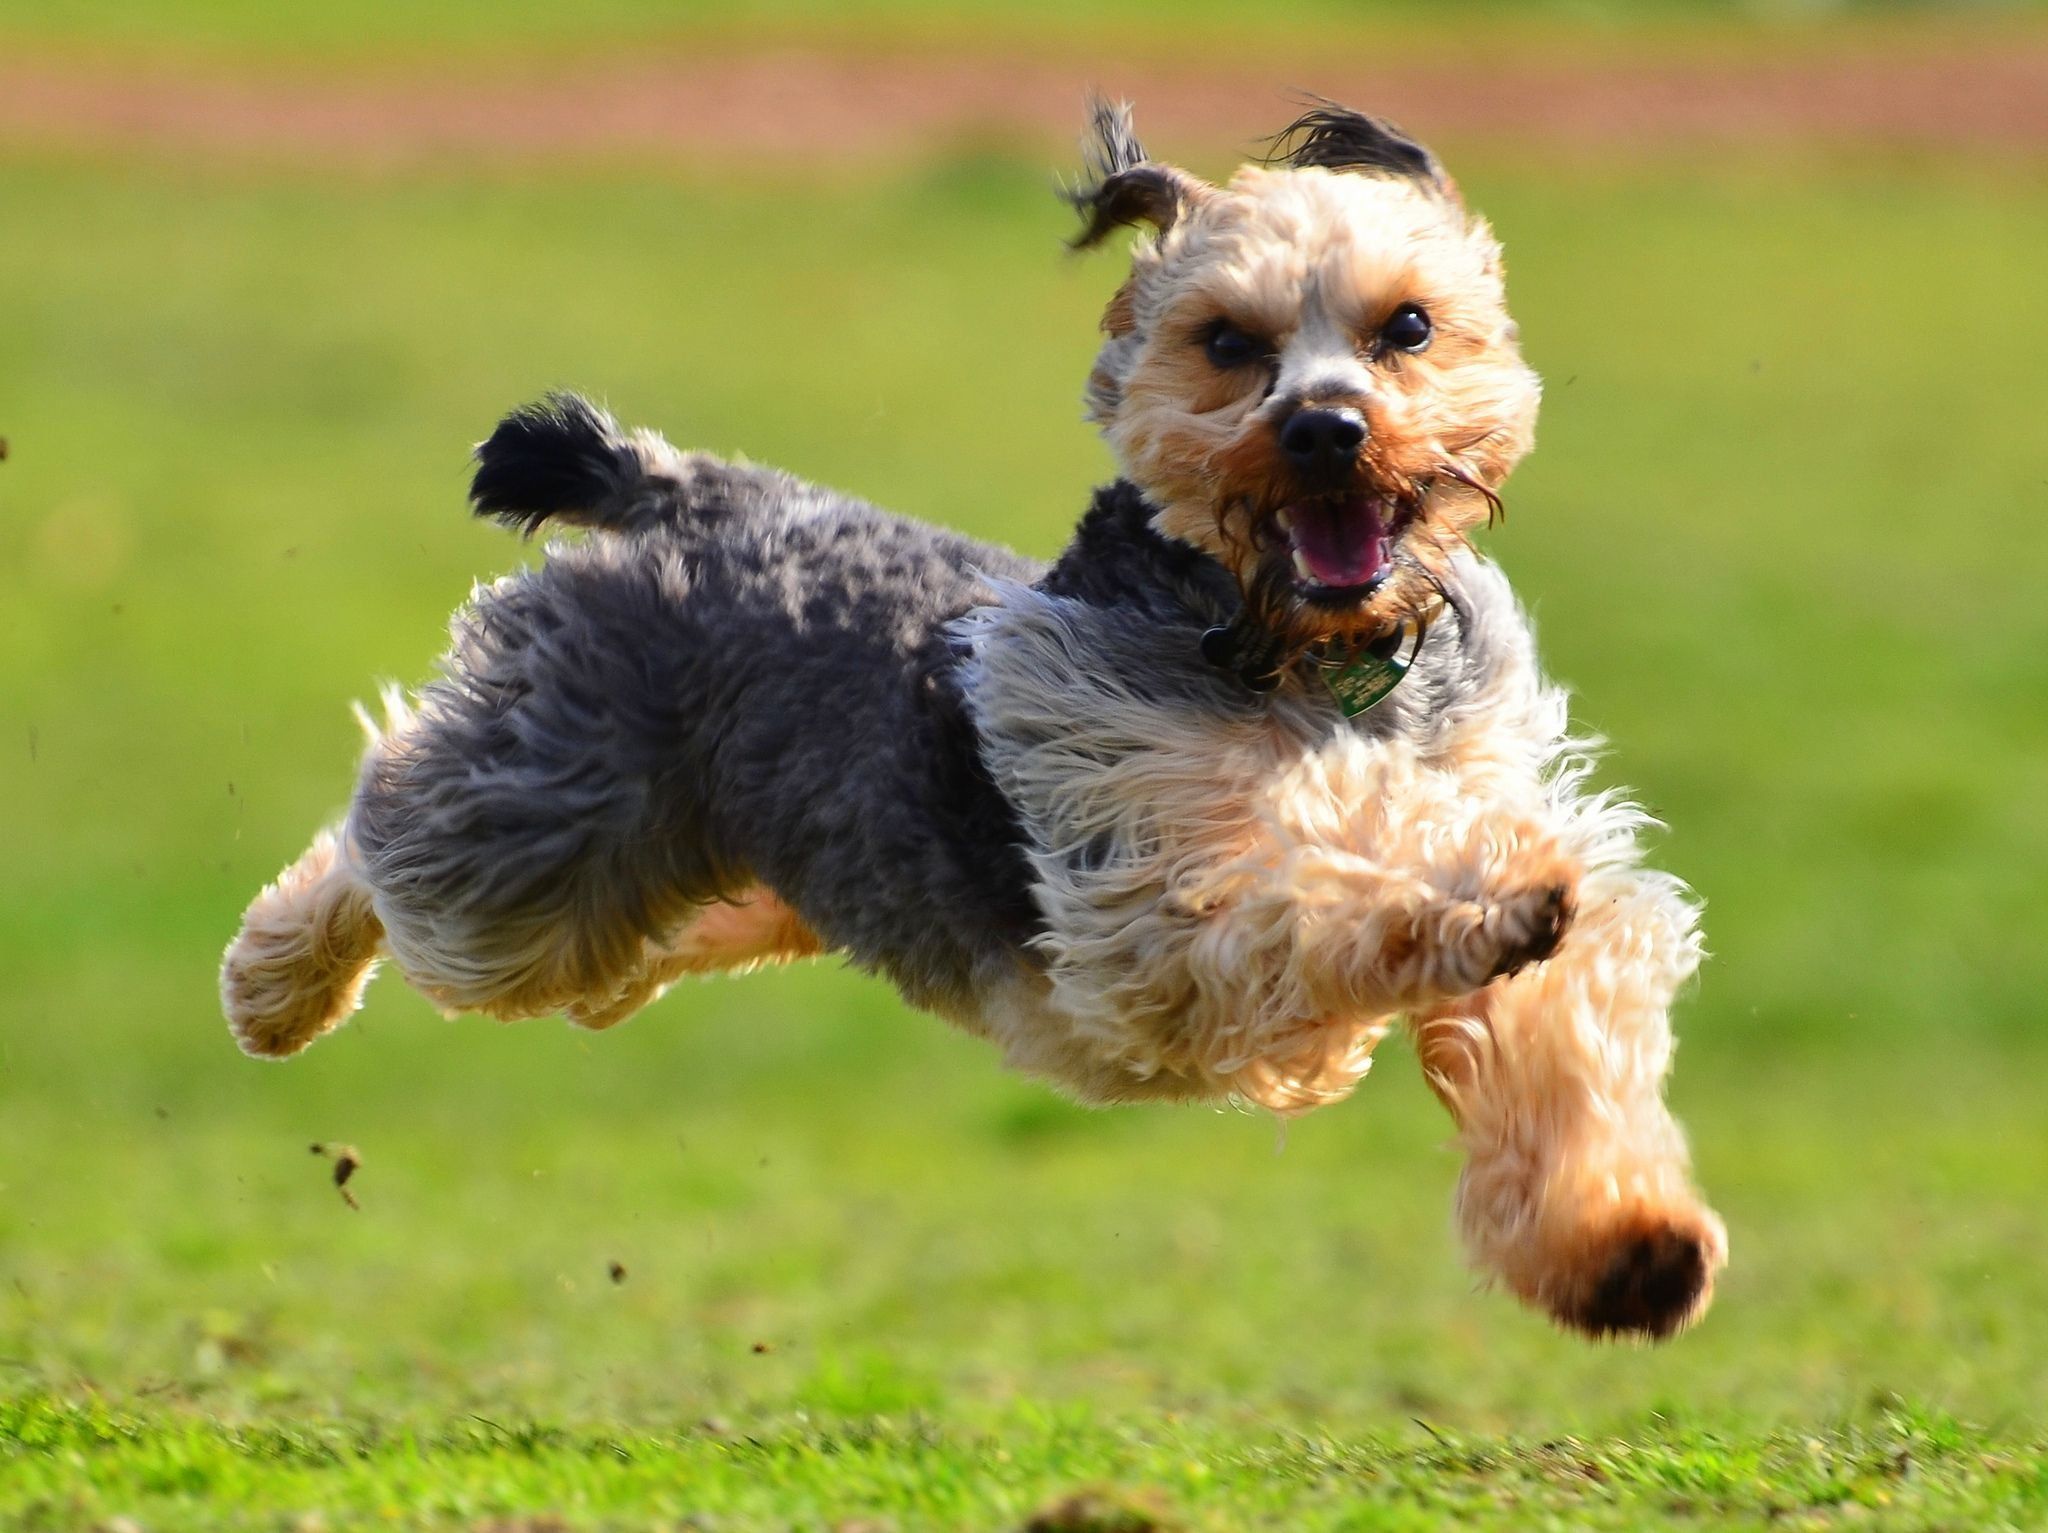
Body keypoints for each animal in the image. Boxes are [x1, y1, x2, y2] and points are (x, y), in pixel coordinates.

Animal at [224, 101, 1728, 1334]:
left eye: (1404, 327)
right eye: (1227, 343)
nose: (1325, 429)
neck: (1308, 657)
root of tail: (686, 488)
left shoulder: (1500, 818)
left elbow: (1567, 1024)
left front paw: (1628, 1252)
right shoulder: (1143, 899)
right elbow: (1314, 868)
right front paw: (1472, 894)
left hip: (682, 895)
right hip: (541, 848)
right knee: (389, 837)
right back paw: (274, 985)